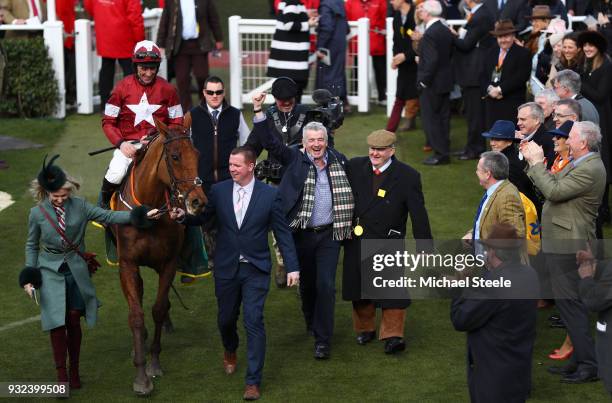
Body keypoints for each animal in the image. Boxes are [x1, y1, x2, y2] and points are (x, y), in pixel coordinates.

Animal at [111, 116, 204, 394]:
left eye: (197, 154)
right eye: (174, 156)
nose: (198, 201)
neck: (149, 212)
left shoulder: (168, 263)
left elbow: (159, 309)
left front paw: (153, 362)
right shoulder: (128, 263)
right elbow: (136, 316)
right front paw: (141, 376)